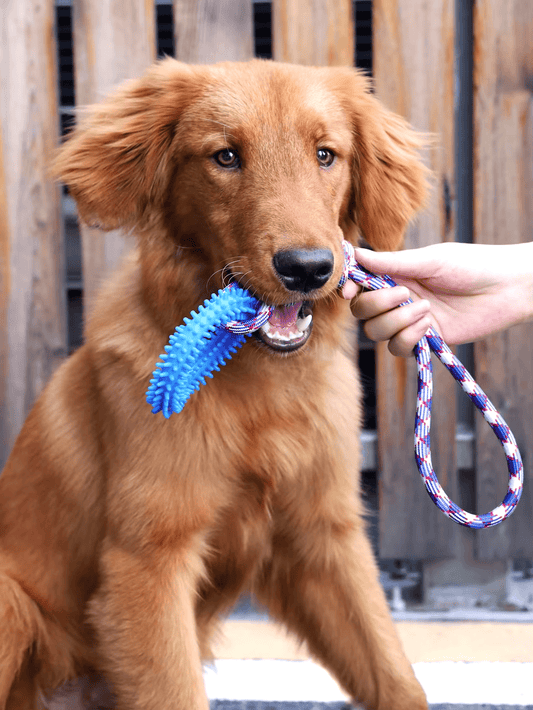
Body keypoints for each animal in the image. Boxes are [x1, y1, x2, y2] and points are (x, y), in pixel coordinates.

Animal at [0, 61, 428, 710]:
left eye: (326, 155)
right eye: (225, 156)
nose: (307, 268)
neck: (260, 389)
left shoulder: (324, 540)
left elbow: (394, 676)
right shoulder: (149, 560)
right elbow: (173, 689)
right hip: (12, 604)